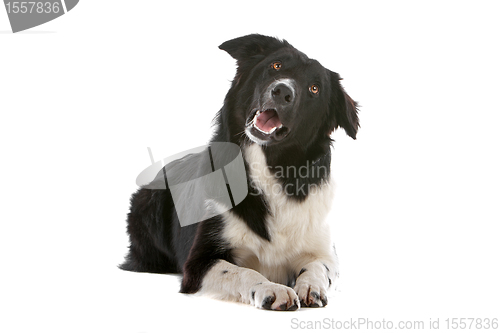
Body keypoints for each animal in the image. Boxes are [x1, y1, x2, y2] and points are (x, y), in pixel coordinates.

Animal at [119, 33, 358, 308]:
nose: (282, 91)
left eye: (315, 89)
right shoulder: (198, 263)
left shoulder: (323, 250)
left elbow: (319, 267)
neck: (269, 170)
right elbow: (244, 272)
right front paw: (271, 288)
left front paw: (311, 286)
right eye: (276, 65)